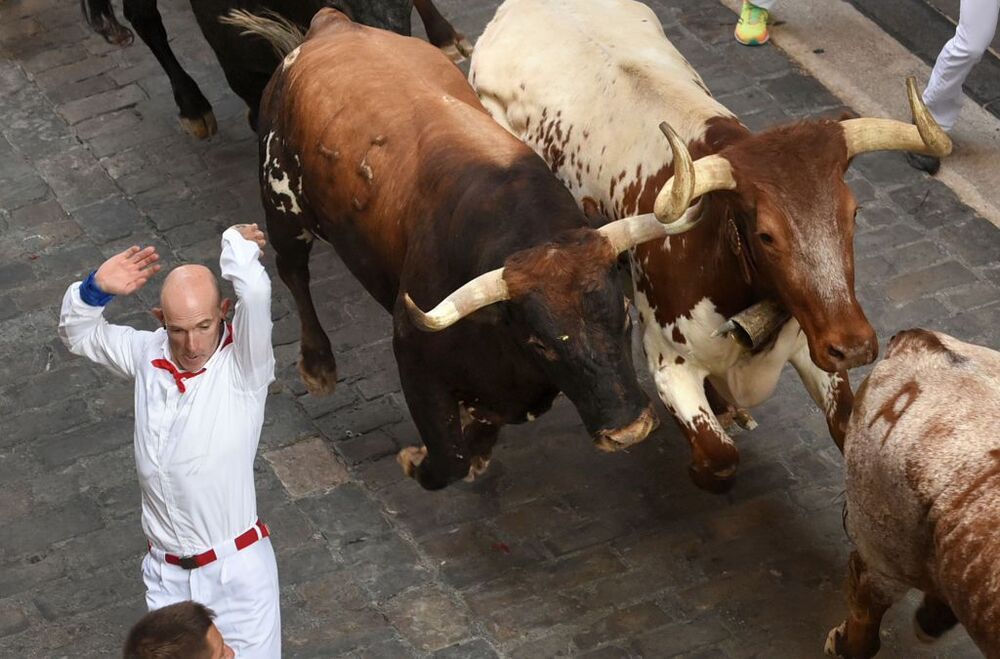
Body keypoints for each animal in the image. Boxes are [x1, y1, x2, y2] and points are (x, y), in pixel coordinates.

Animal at [472, 0, 948, 490]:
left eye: (853, 213)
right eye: (766, 234)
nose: (852, 346)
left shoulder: (813, 348)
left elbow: (846, 429)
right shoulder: (669, 365)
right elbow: (720, 455)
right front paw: (700, 462)